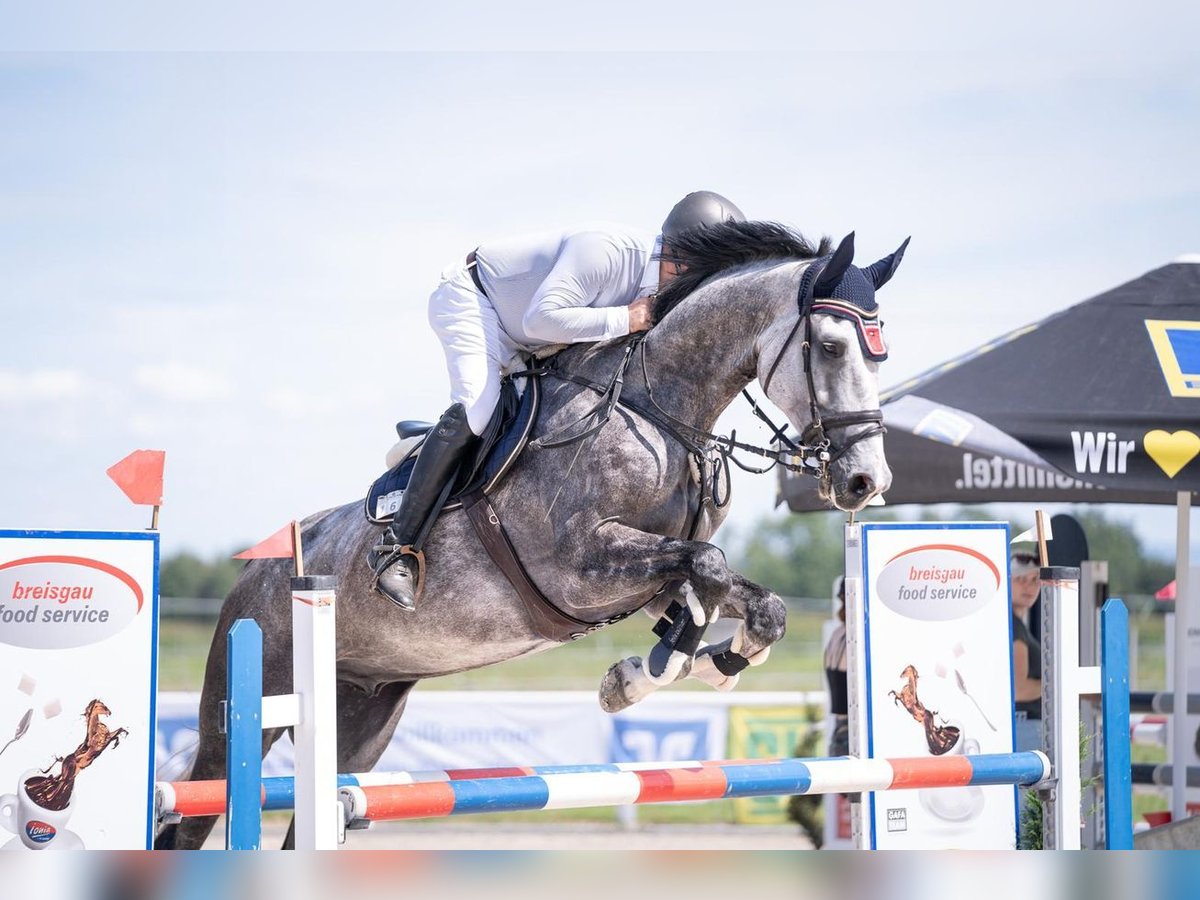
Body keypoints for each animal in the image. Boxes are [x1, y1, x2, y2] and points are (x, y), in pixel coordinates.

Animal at [157, 222, 902, 849]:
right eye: (831, 347)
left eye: (882, 354)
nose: (867, 481)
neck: (658, 410)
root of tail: (260, 570)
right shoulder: (577, 569)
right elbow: (711, 568)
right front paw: (647, 674)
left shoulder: (644, 579)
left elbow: (748, 599)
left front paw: (697, 663)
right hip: (247, 700)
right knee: (192, 810)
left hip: (364, 716)